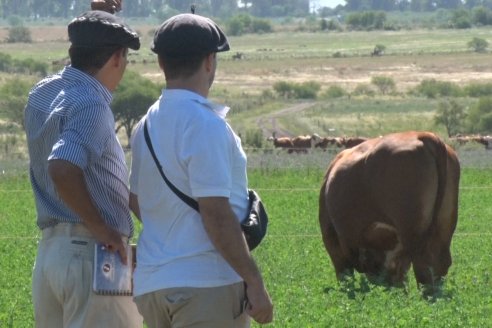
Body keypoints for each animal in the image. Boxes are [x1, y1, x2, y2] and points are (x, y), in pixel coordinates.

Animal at [320, 131, 462, 288]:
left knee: (423, 266)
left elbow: (345, 277)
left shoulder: (332, 240)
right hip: (443, 227)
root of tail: (421, 135)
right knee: (440, 264)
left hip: (412, 233)